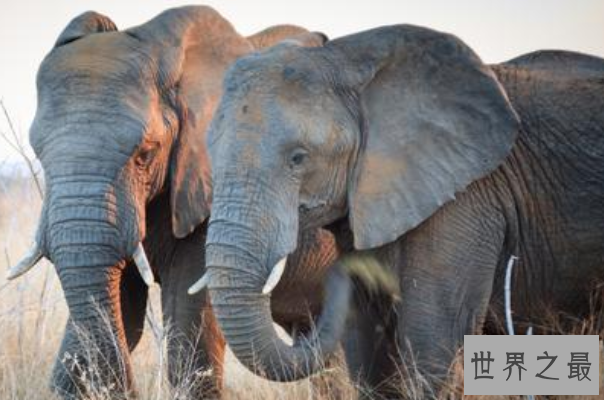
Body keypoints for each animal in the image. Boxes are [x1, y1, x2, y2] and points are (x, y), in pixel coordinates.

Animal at [192, 23, 604, 398]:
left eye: (298, 158)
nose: (337, 273)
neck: (347, 60)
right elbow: (369, 351)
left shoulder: (465, 199)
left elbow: (433, 342)